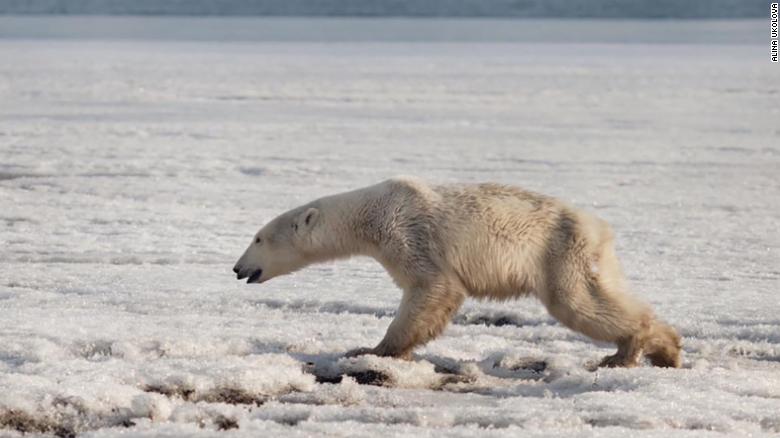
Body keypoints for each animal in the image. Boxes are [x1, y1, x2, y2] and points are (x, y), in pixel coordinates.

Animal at [233, 176, 684, 368]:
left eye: (257, 238)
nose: (238, 269)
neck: (372, 213)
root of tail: (599, 228)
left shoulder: (408, 233)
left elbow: (432, 287)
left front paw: (371, 350)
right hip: (588, 256)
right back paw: (666, 348)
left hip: (559, 251)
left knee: (577, 303)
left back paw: (626, 351)